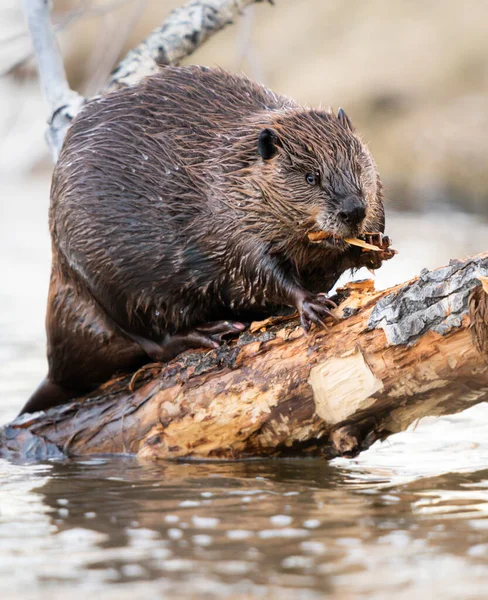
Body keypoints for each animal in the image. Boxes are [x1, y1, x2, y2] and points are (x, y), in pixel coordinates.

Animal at [21, 64, 388, 412]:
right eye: (312, 177)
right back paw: (211, 332)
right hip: (104, 284)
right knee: (150, 340)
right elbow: (257, 269)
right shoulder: (228, 221)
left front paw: (374, 246)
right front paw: (311, 303)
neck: (230, 172)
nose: (353, 210)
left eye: (358, 165)